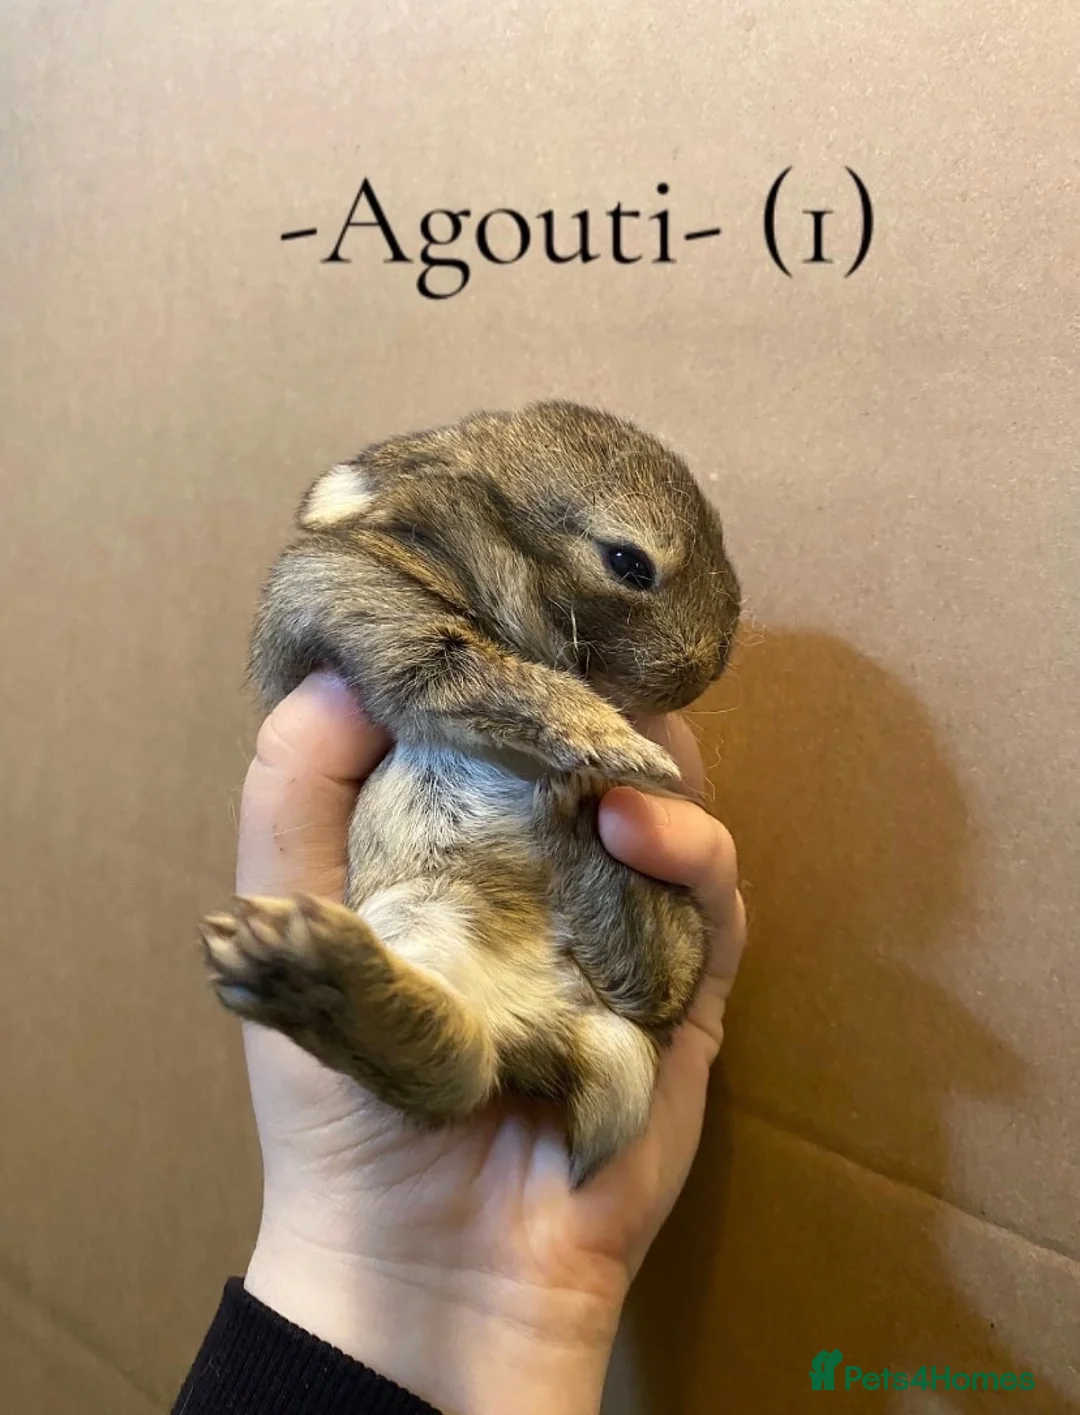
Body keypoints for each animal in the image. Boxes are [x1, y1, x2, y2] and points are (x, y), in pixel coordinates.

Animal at [199, 399, 741, 1186]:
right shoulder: (381, 620)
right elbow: (491, 678)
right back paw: (302, 968)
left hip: (672, 929)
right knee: (453, 1071)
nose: (706, 668)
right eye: (629, 563)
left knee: (636, 986)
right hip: (421, 922)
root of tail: (558, 1036)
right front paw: (614, 742)